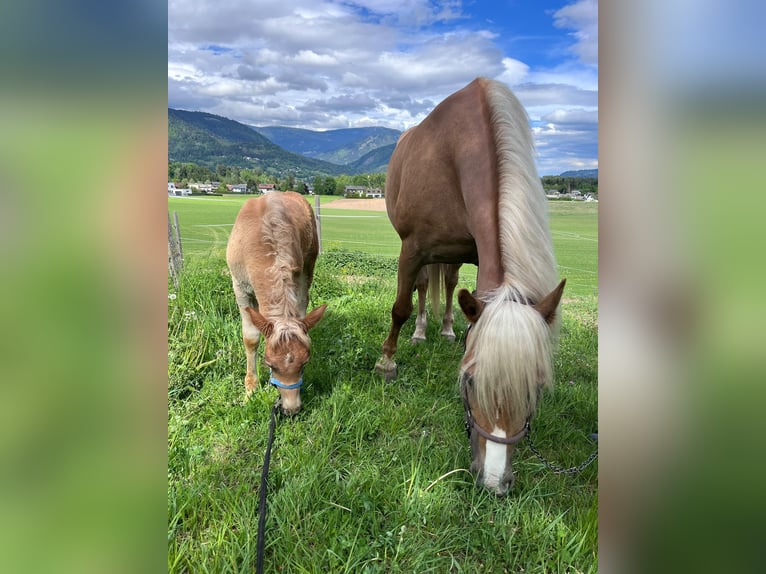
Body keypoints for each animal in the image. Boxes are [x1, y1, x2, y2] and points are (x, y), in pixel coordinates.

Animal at [226, 191, 327, 416]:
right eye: (270, 365)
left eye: (304, 364)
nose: (291, 409)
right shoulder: (240, 288)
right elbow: (250, 338)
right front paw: (251, 389)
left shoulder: (296, 279)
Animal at [374, 78, 566, 495]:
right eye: (469, 381)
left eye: (536, 387)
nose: (494, 481)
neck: (458, 152)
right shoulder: (412, 248)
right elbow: (401, 306)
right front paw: (387, 361)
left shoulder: (476, 252)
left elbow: (465, 300)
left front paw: (453, 332)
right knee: (424, 287)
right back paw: (421, 332)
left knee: (449, 286)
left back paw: (446, 328)